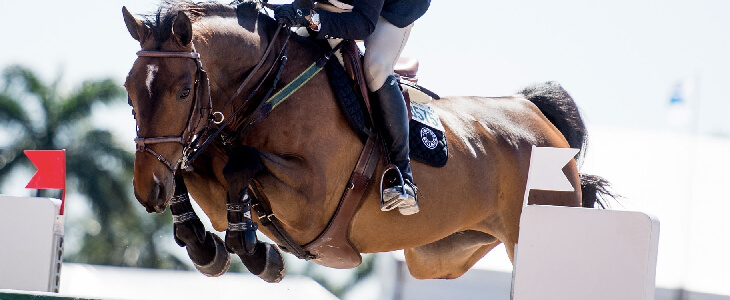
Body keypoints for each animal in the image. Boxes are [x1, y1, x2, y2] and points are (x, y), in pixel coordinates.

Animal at [123, 0, 608, 282]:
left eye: (182, 91)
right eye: (129, 91)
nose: (147, 192)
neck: (269, 86)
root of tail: (536, 114)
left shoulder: (312, 202)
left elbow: (239, 162)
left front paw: (255, 253)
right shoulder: (205, 161)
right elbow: (190, 167)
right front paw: (204, 245)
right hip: (440, 256)